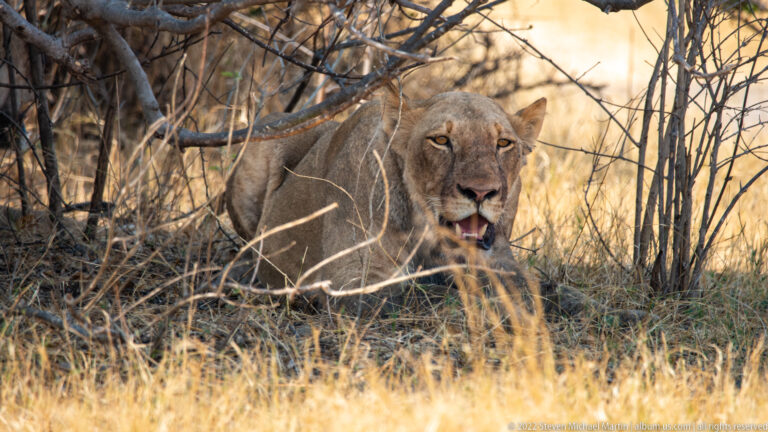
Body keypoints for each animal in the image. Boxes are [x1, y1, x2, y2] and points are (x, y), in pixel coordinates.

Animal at [226, 89, 547, 315]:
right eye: (441, 140)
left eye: (503, 143)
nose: (480, 192)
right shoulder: (353, 283)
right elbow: (427, 295)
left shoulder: (501, 260)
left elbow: (528, 285)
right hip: (265, 134)